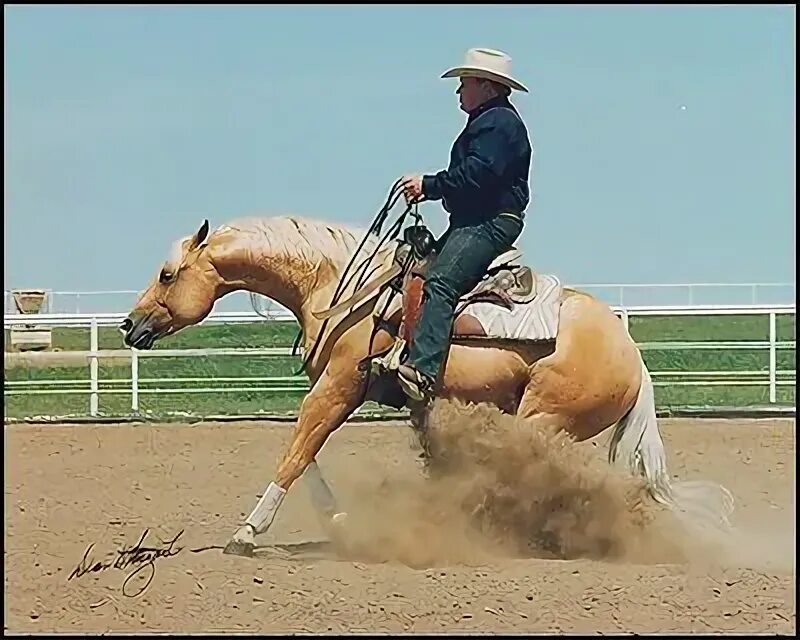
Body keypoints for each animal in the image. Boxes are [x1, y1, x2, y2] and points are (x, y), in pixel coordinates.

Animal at [122, 214, 736, 556]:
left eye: (167, 274)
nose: (130, 325)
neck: (347, 287)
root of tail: (632, 356)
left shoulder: (339, 388)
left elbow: (296, 454)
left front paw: (248, 534)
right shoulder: (351, 394)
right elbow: (308, 456)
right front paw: (339, 520)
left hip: (541, 417)